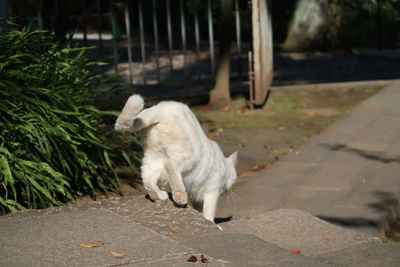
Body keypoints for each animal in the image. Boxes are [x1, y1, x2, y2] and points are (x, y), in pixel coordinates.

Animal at [113, 95, 238, 223]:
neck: (224, 165)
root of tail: (162, 109)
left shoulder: (197, 196)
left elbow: (199, 210)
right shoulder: (212, 191)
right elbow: (209, 212)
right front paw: (212, 223)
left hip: (153, 158)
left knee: (148, 180)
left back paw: (159, 195)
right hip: (187, 156)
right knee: (171, 167)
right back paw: (180, 197)